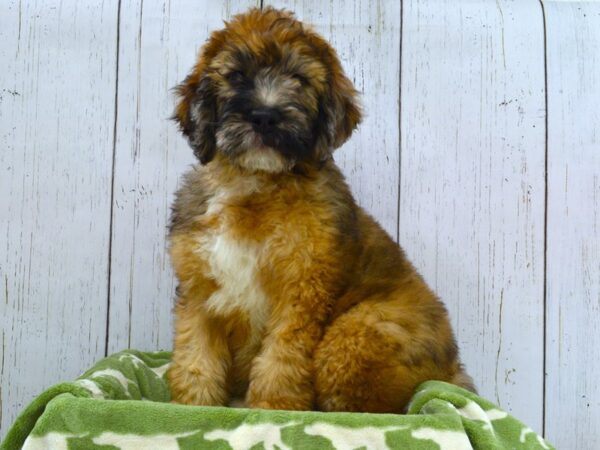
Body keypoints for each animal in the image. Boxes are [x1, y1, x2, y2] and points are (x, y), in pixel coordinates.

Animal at [168, 7, 474, 414]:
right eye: (236, 76)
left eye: (298, 79)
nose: (264, 116)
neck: (255, 183)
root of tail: (453, 369)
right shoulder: (199, 291)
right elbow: (194, 360)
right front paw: (191, 408)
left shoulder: (302, 292)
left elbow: (280, 359)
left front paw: (273, 409)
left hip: (353, 334)